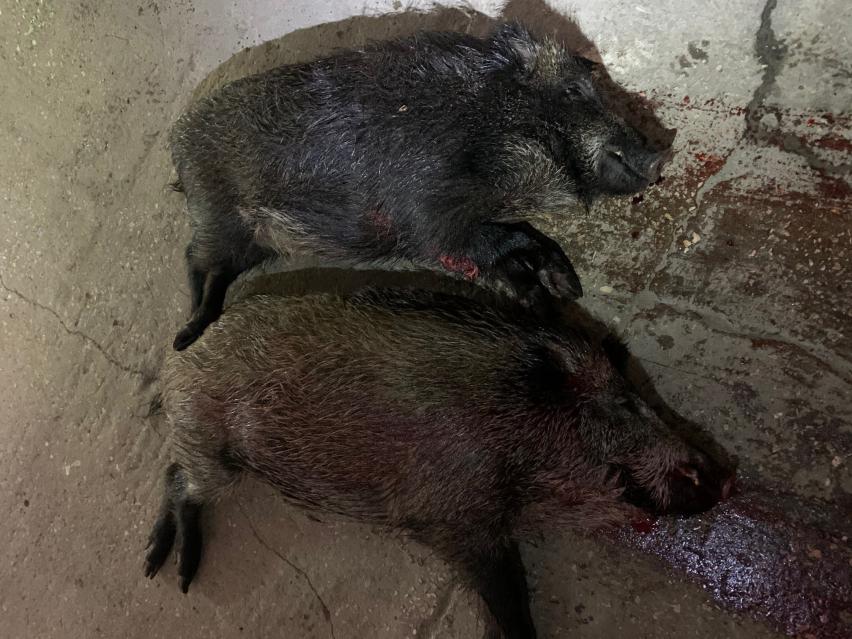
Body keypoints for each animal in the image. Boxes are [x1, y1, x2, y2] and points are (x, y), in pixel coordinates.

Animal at [145, 286, 732, 639]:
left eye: (649, 397)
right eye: (626, 404)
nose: (722, 478)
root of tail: (172, 365)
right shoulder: (455, 520)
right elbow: (511, 602)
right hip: (212, 449)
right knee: (177, 478)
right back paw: (171, 572)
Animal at [169, 22, 669, 350]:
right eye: (571, 92)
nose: (660, 152)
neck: (484, 128)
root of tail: (179, 142)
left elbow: (517, 245)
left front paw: (563, 293)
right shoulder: (431, 221)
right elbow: (510, 241)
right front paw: (557, 297)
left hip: (252, 243)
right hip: (219, 218)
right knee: (194, 258)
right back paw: (184, 335)